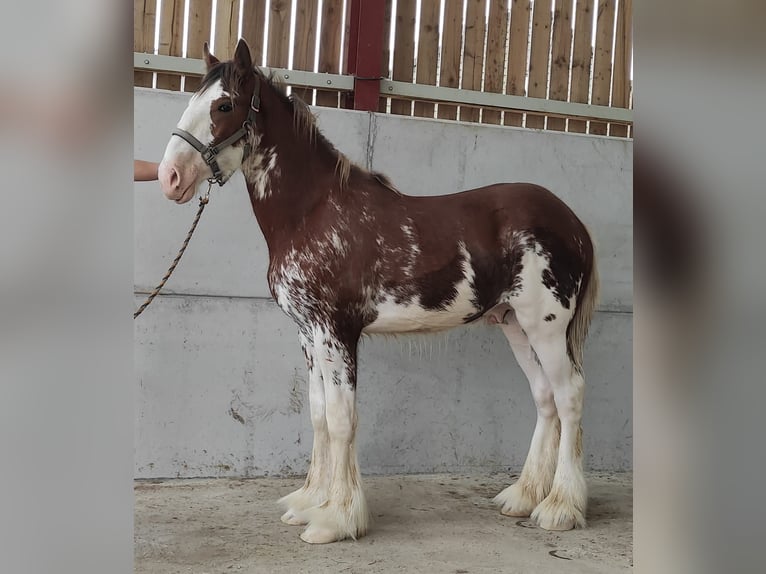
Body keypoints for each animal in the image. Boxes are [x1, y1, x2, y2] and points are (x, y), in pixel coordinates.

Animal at [156, 39, 600, 544]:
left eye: (224, 105)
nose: (169, 176)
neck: (313, 212)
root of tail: (571, 221)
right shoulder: (309, 335)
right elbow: (319, 415)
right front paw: (309, 502)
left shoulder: (337, 332)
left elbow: (342, 419)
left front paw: (336, 518)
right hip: (515, 325)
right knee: (545, 397)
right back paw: (523, 498)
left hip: (547, 327)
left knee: (569, 396)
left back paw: (561, 508)